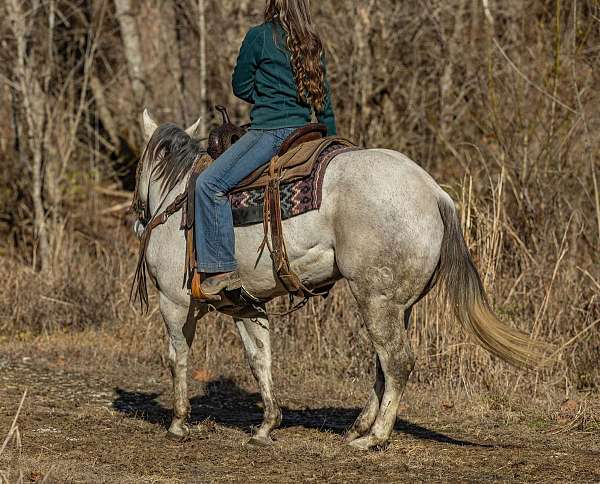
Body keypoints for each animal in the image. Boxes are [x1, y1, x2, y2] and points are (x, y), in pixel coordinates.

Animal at [134, 111, 548, 452]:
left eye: (139, 164)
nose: (140, 219)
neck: (177, 199)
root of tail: (435, 194)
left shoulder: (174, 301)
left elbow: (177, 356)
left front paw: (178, 422)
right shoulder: (247, 306)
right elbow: (259, 358)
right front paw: (266, 426)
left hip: (375, 300)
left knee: (397, 361)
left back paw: (374, 438)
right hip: (397, 306)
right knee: (383, 365)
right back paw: (358, 428)